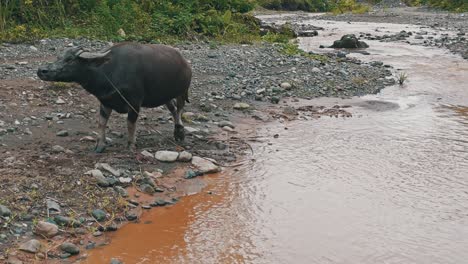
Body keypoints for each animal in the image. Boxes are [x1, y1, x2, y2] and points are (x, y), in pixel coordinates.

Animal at [37, 43, 192, 153]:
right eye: (59, 57)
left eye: (70, 60)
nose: (42, 70)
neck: (108, 71)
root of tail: (184, 62)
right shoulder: (105, 102)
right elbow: (101, 123)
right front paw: (100, 145)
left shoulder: (135, 103)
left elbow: (130, 124)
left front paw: (130, 144)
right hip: (166, 95)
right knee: (172, 108)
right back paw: (177, 131)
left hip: (182, 91)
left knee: (179, 109)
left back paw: (180, 132)